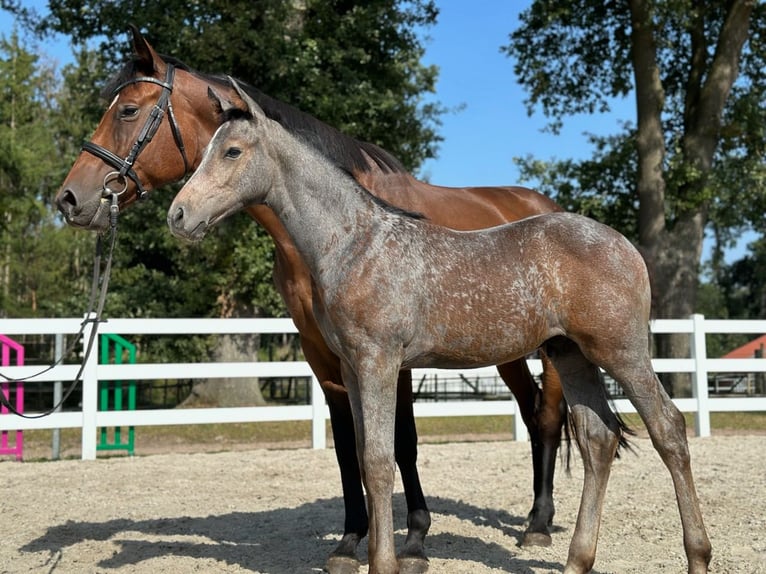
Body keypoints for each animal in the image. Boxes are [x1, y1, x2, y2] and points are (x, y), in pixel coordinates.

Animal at [55, 25, 568, 572]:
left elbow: (403, 443)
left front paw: (414, 539)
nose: (69, 198)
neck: (335, 227)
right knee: (532, 412)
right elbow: (347, 447)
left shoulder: (391, 358)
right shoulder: (322, 351)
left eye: (128, 110)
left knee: (548, 416)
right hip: (508, 351)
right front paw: (349, 542)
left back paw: (538, 525)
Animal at [168, 82, 712, 574]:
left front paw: (387, 562)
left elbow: (380, 460)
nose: (178, 214)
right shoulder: (351, 367)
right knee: (599, 440)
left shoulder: (380, 363)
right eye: (206, 149)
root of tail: (624, 245)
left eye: (232, 151)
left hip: (621, 353)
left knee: (668, 429)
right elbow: (365, 460)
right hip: (570, 354)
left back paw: (697, 556)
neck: (355, 242)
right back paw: (578, 560)